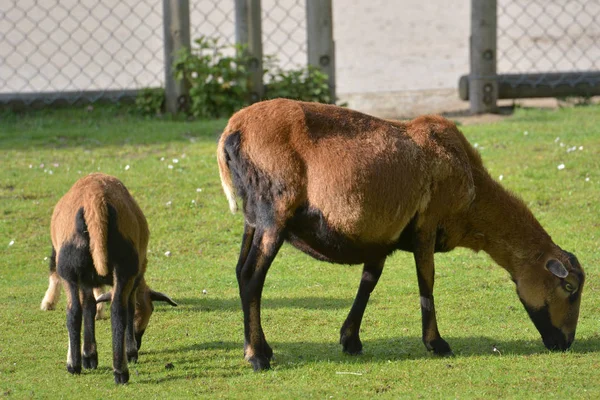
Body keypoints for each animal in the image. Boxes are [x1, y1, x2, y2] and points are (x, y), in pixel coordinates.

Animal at [42, 173, 176, 384]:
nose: (138, 343)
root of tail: (94, 202)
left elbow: (89, 307)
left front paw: (89, 356)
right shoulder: (130, 279)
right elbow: (103, 307)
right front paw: (96, 355)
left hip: (70, 269)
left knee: (75, 312)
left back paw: (77, 366)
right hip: (122, 268)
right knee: (117, 310)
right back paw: (120, 370)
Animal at [217, 98, 584, 370]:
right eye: (569, 287)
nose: (565, 344)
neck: (473, 194)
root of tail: (233, 129)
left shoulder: (380, 236)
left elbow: (368, 282)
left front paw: (350, 340)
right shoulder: (426, 226)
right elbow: (427, 282)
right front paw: (437, 344)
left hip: (253, 219)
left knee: (239, 271)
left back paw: (263, 348)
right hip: (274, 211)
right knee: (251, 276)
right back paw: (257, 357)